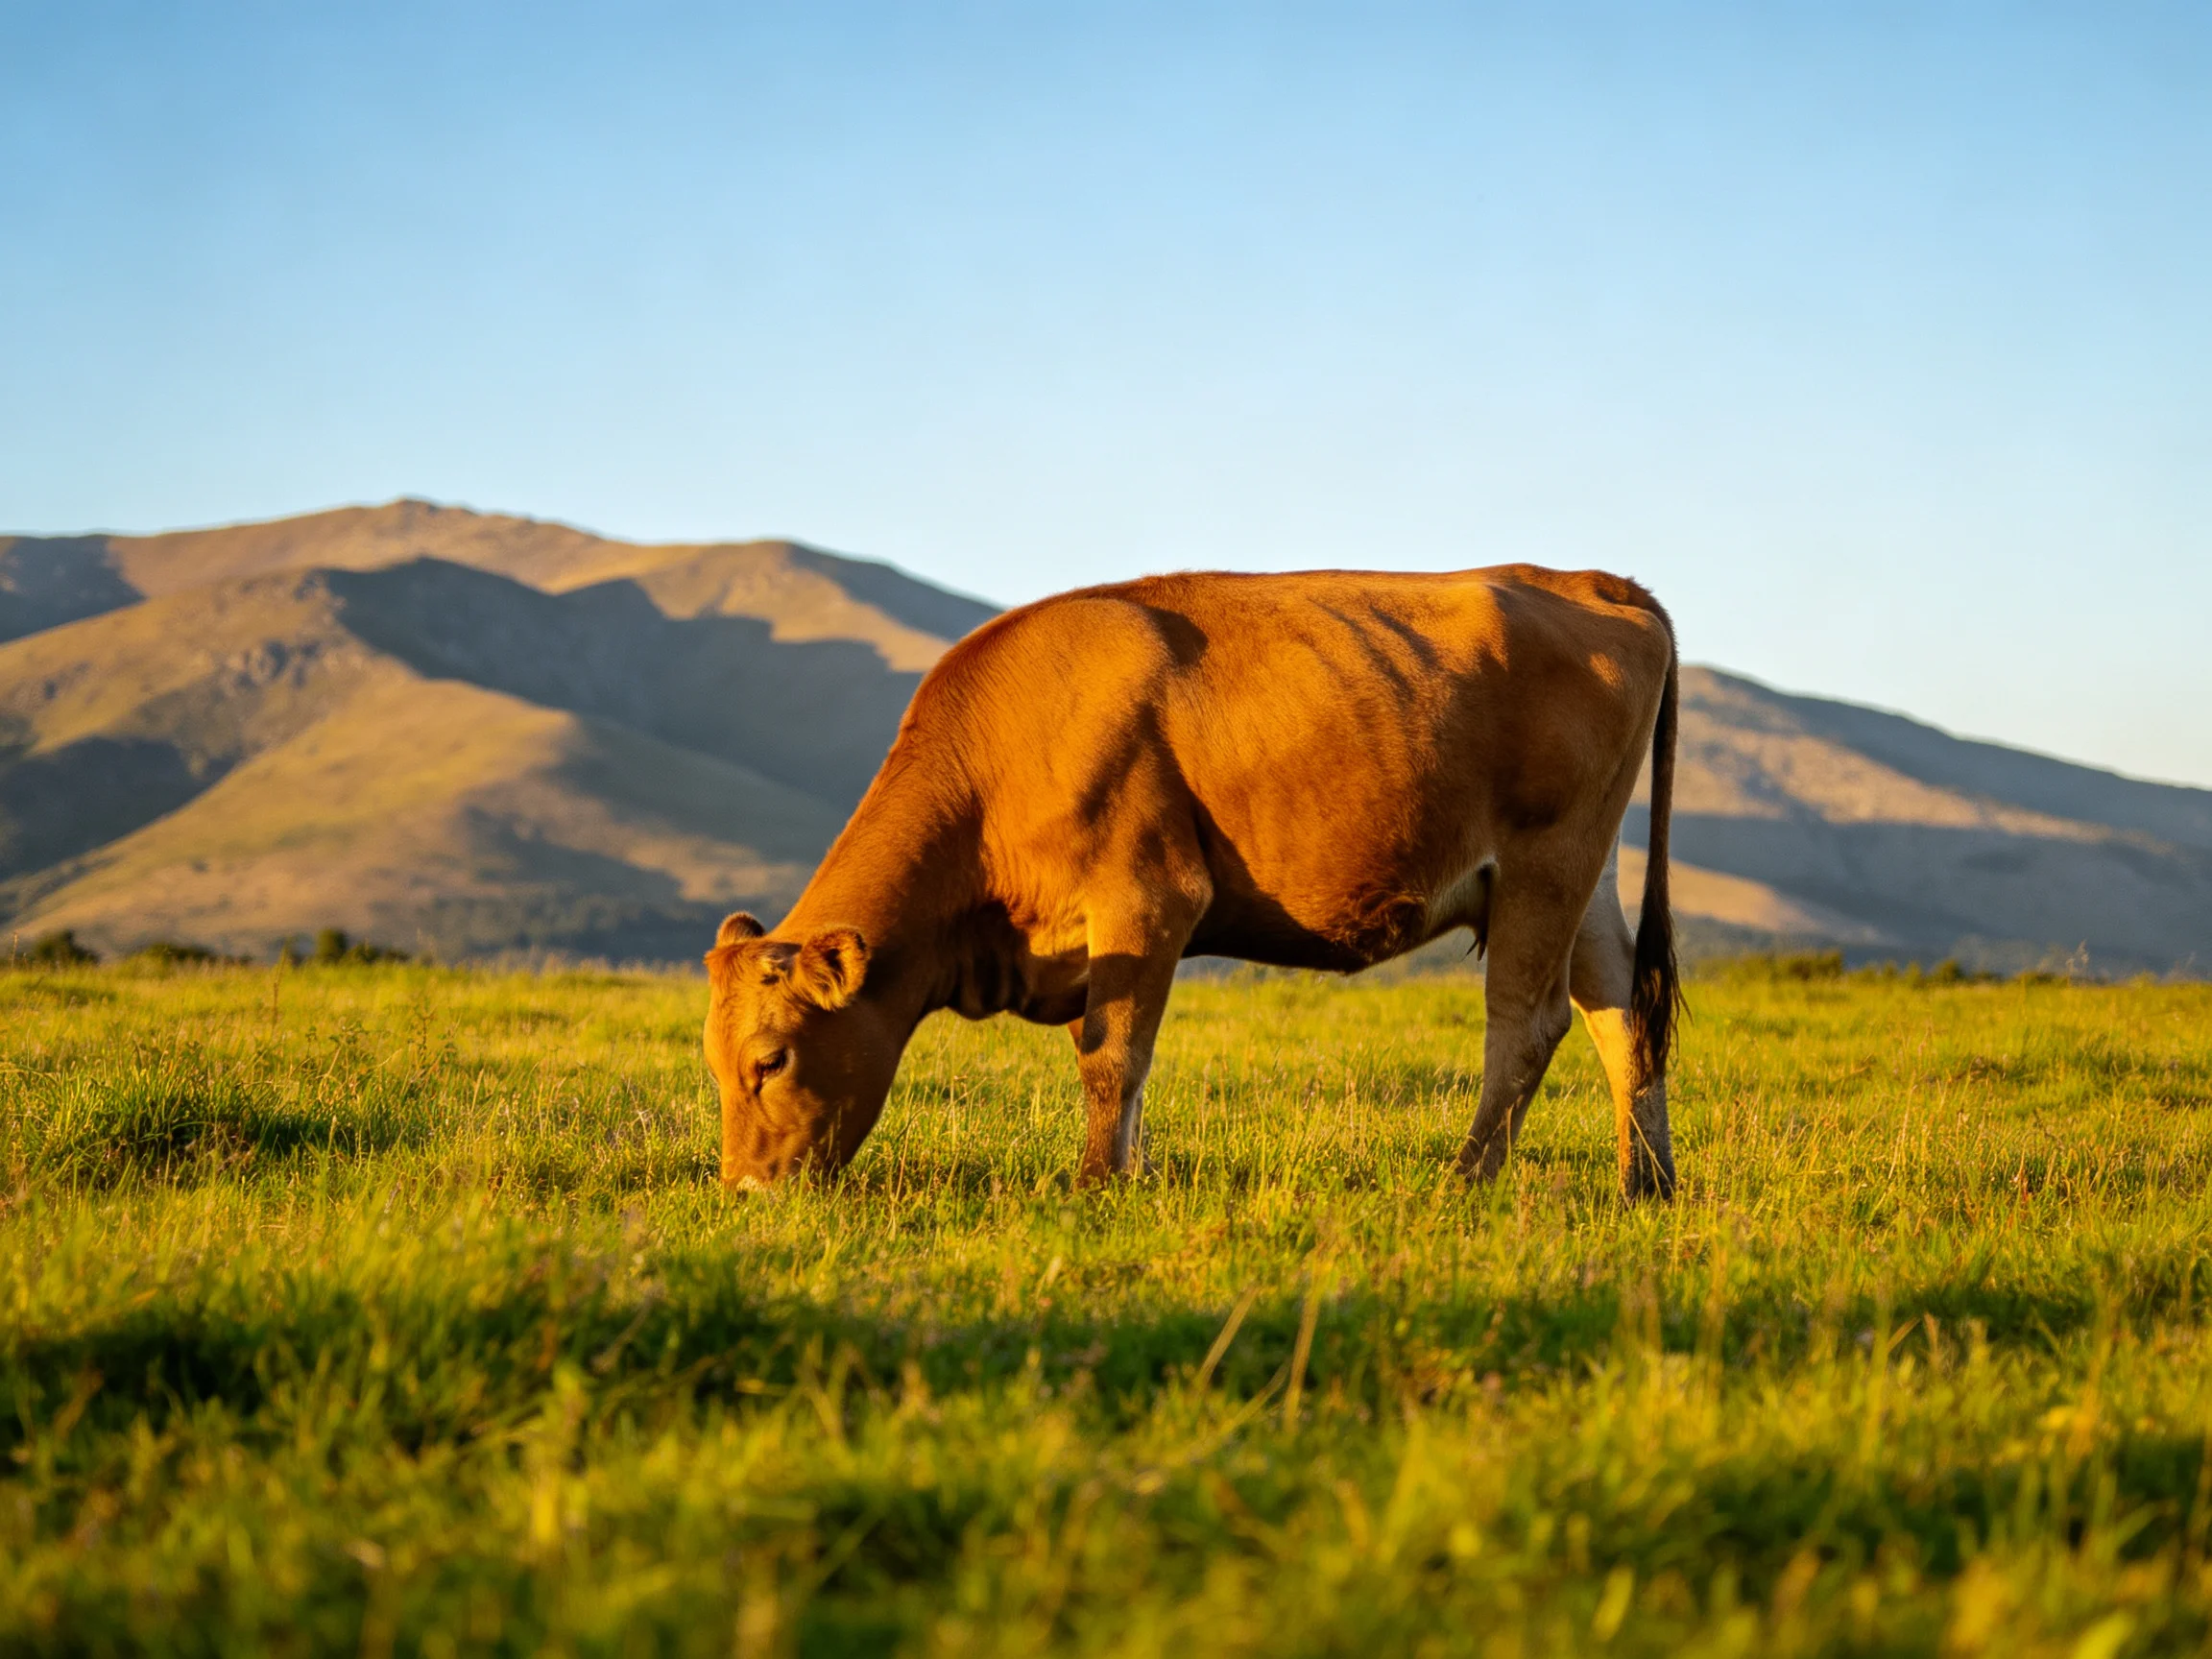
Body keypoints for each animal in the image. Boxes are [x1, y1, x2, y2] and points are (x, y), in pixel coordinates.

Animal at [704, 565, 1681, 1200]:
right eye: (712, 1063)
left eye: (771, 1059)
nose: (744, 1191)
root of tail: (1590, 580)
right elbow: (1114, 1052)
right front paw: (1126, 1175)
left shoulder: (1147, 897)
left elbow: (1110, 1055)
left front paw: (1095, 1185)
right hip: (1586, 878)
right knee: (1622, 1016)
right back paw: (1646, 1183)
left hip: (1545, 864)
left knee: (1529, 1024)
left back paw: (1466, 1180)